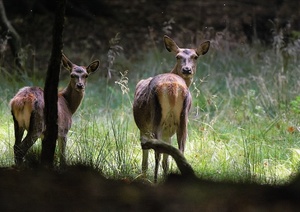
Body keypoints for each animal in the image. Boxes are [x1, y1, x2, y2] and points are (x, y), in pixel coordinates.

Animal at [132, 34, 210, 182]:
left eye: (195, 56)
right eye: (178, 56)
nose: (187, 69)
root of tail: (173, 87)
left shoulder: (146, 129)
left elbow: (149, 158)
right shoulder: (167, 131)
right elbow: (166, 159)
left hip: (156, 117)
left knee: (157, 152)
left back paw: (155, 180)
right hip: (183, 118)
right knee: (180, 149)